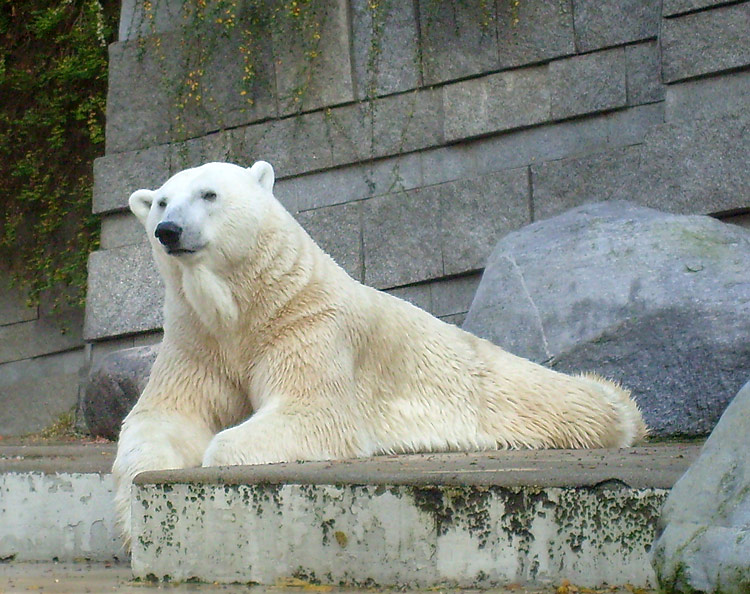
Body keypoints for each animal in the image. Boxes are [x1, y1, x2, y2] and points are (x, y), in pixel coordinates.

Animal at [111, 161, 648, 540]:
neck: (249, 306)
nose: (169, 230)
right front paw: (138, 502)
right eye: (161, 202)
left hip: (499, 386)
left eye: (210, 193)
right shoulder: (197, 340)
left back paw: (615, 407)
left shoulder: (307, 325)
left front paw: (215, 453)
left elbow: (312, 412)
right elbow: (163, 416)